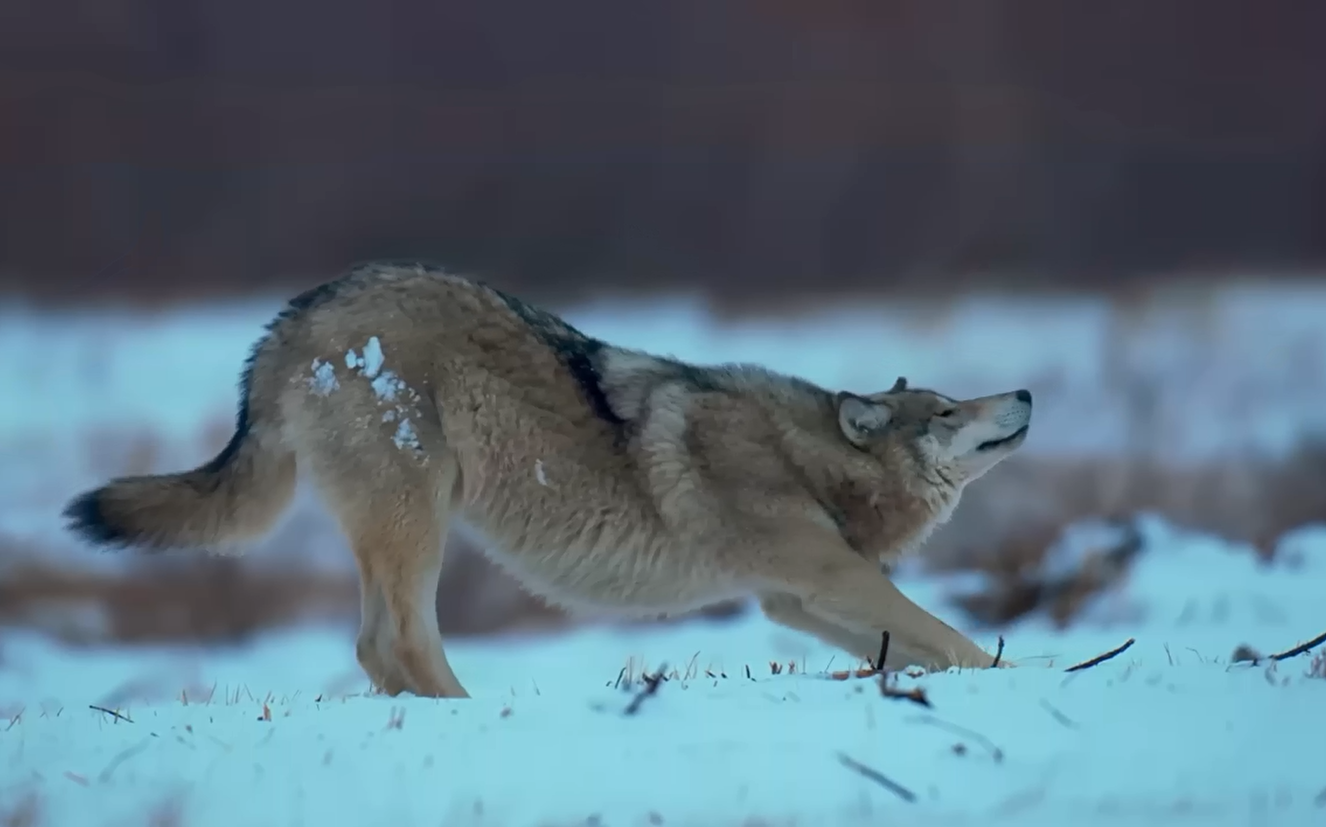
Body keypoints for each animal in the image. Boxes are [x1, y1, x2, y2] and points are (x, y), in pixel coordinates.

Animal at [63, 261, 1033, 698]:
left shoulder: (794, 599)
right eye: (948, 411)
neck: (807, 453)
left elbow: (926, 646)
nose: (1024, 390)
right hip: (419, 519)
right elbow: (955, 637)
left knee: (374, 646)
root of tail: (294, 315)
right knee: (396, 640)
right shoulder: (832, 576)